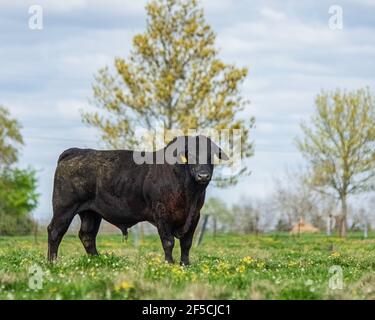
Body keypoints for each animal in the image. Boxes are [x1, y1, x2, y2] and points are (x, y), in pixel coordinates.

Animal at [47, 135, 229, 264]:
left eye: (211, 155)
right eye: (190, 154)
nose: (203, 175)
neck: (189, 193)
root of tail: (77, 151)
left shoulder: (195, 215)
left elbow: (187, 243)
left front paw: (185, 264)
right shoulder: (162, 213)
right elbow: (168, 242)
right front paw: (169, 264)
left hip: (91, 212)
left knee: (87, 235)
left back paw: (97, 261)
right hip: (65, 207)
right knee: (55, 231)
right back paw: (52, 262)